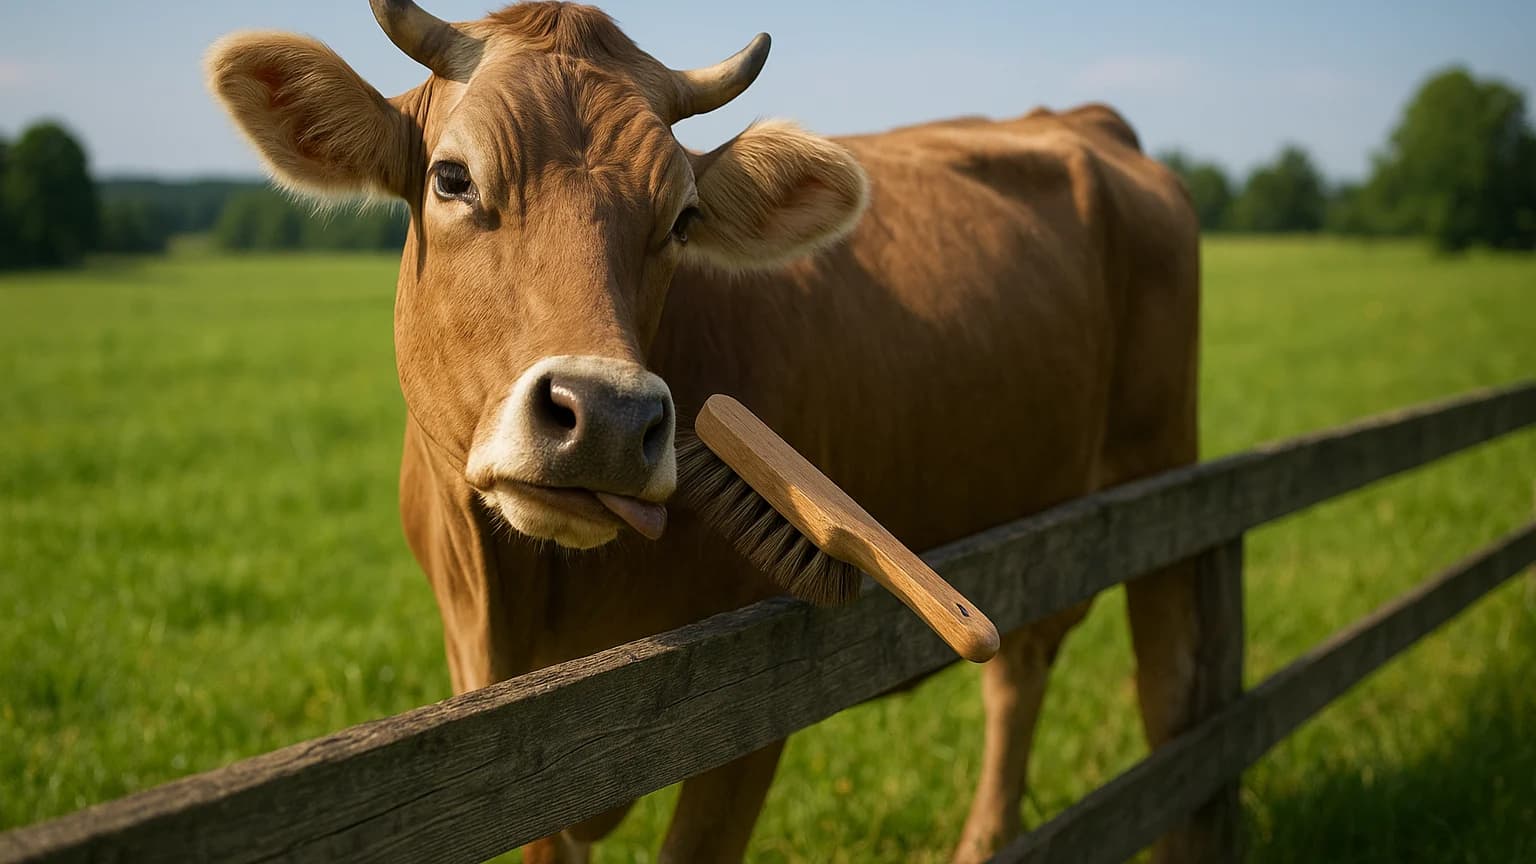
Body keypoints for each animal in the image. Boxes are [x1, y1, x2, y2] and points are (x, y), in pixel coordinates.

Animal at [206, 2, 1201, 862]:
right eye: (451, 177)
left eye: (682, 217)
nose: (607, 418)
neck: (526, 595)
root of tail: (1081, 118)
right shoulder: (500, 725)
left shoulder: (743, 720)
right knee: (1023, 669)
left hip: (1164, 483)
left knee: (1162, 696)